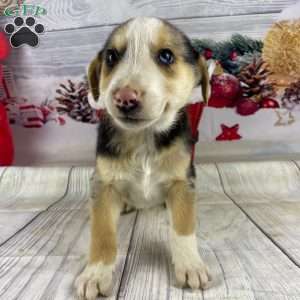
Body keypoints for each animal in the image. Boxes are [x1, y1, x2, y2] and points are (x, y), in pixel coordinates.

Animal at [75, 17, 211, 298]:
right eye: (111, 57)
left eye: (166, 56)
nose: (124, 98)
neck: (144, 138)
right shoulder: (103, 185)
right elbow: (102, 234)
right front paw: (95, 274)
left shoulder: (183, 182)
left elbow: (184, 228)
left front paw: (191, 265)